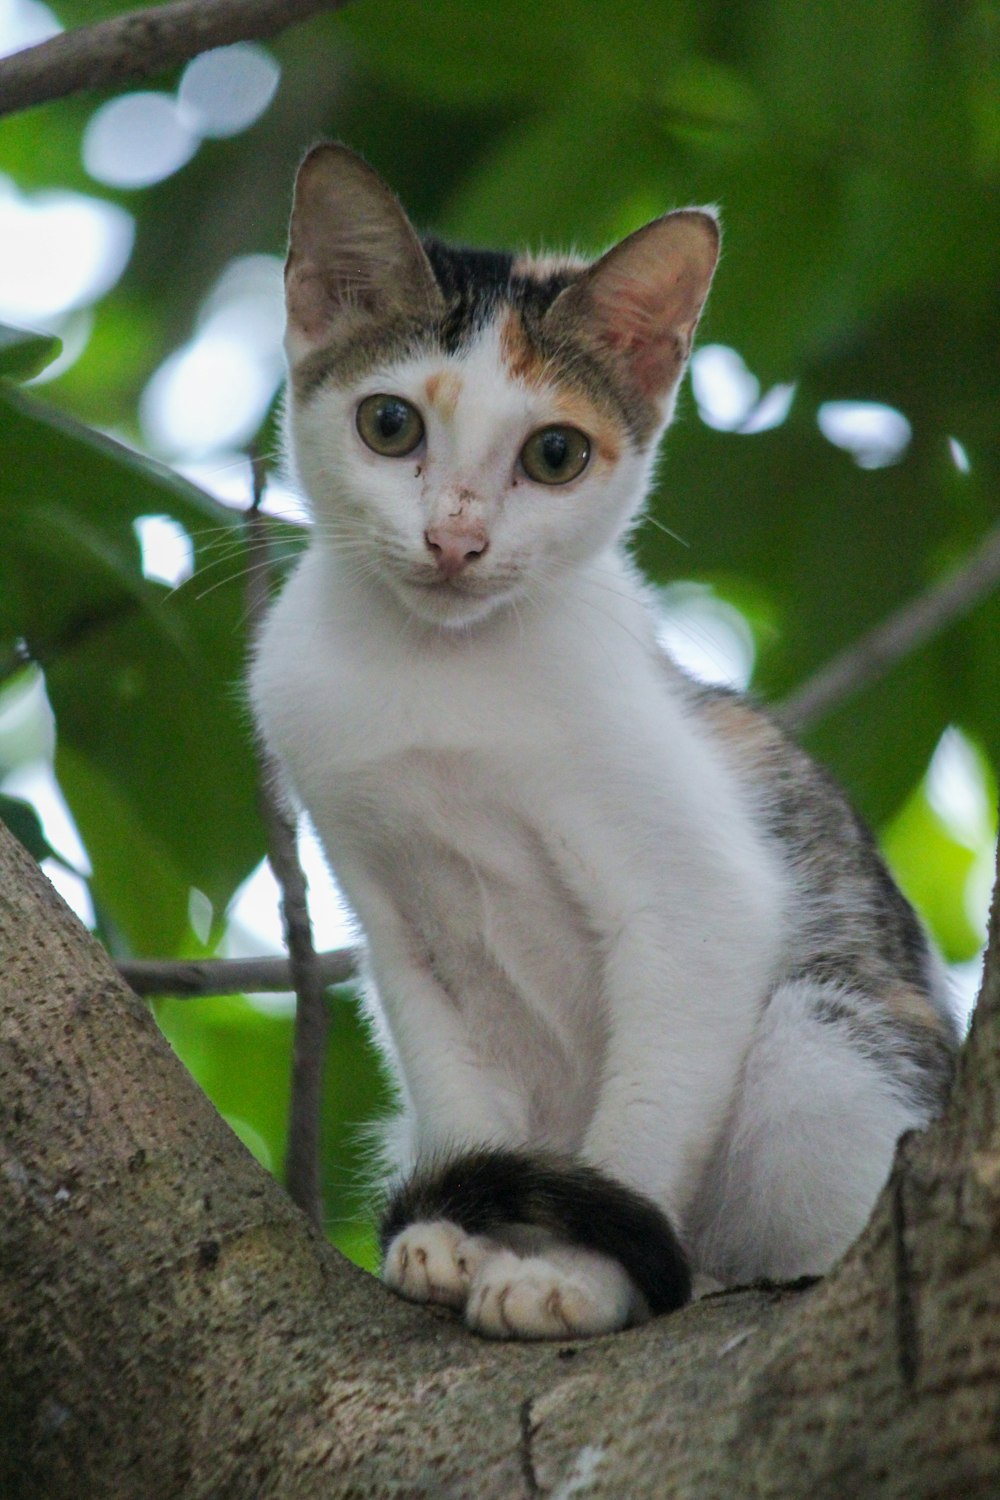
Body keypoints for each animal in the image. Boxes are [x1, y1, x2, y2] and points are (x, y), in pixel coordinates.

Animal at [250, 141, 959, 1338]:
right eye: (390, 426)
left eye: (554, 454)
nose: (454, 540)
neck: (440, 676)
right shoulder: (392, 921)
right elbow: (455, 1090)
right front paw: (456, 1236)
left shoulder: (701, 901)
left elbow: (644, 1123)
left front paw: (577, 1275)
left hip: (826, 1046)